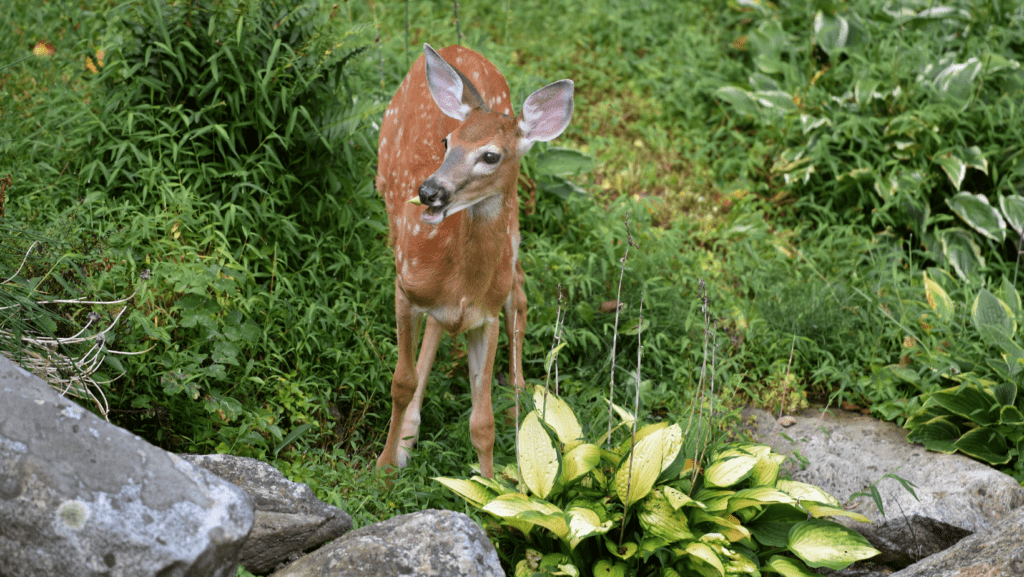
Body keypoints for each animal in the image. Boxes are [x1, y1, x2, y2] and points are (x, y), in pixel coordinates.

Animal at [375, 44, 574, 478]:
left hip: (514, 226)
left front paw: (492, 489)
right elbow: (401, 383)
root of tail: (459, 49)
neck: (458, 279)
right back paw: (407, 437)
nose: (429, 191)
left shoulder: (487, 316)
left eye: (490, 156)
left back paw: (519, 399)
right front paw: (384, 466)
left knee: (519, 290)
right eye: (446, 141)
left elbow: (482, 422)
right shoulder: (404, 287)